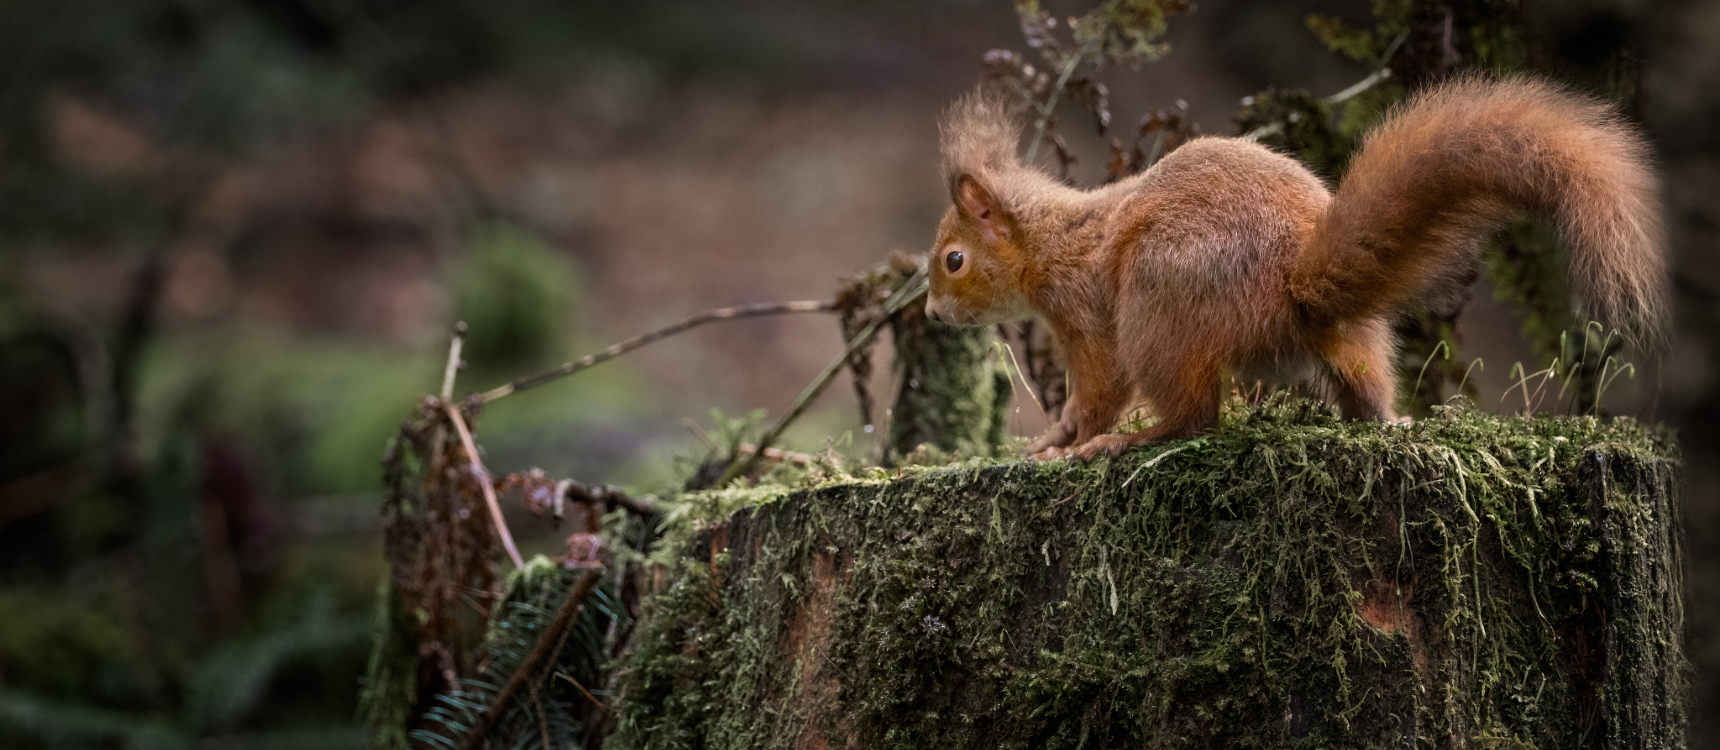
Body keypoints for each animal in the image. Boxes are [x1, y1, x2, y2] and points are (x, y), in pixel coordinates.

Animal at [923, 76, 1668, 461]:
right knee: (1366, 391)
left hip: (1158, 306)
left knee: (1195, 417)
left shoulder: (1085, 316)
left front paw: (1063, 440)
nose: (931, 312)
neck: (1053, 238)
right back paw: (1389, 423)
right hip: (1355, 338)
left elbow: (1099, 390)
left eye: (954, 260)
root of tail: (1296, 282)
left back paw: (1128, 442)